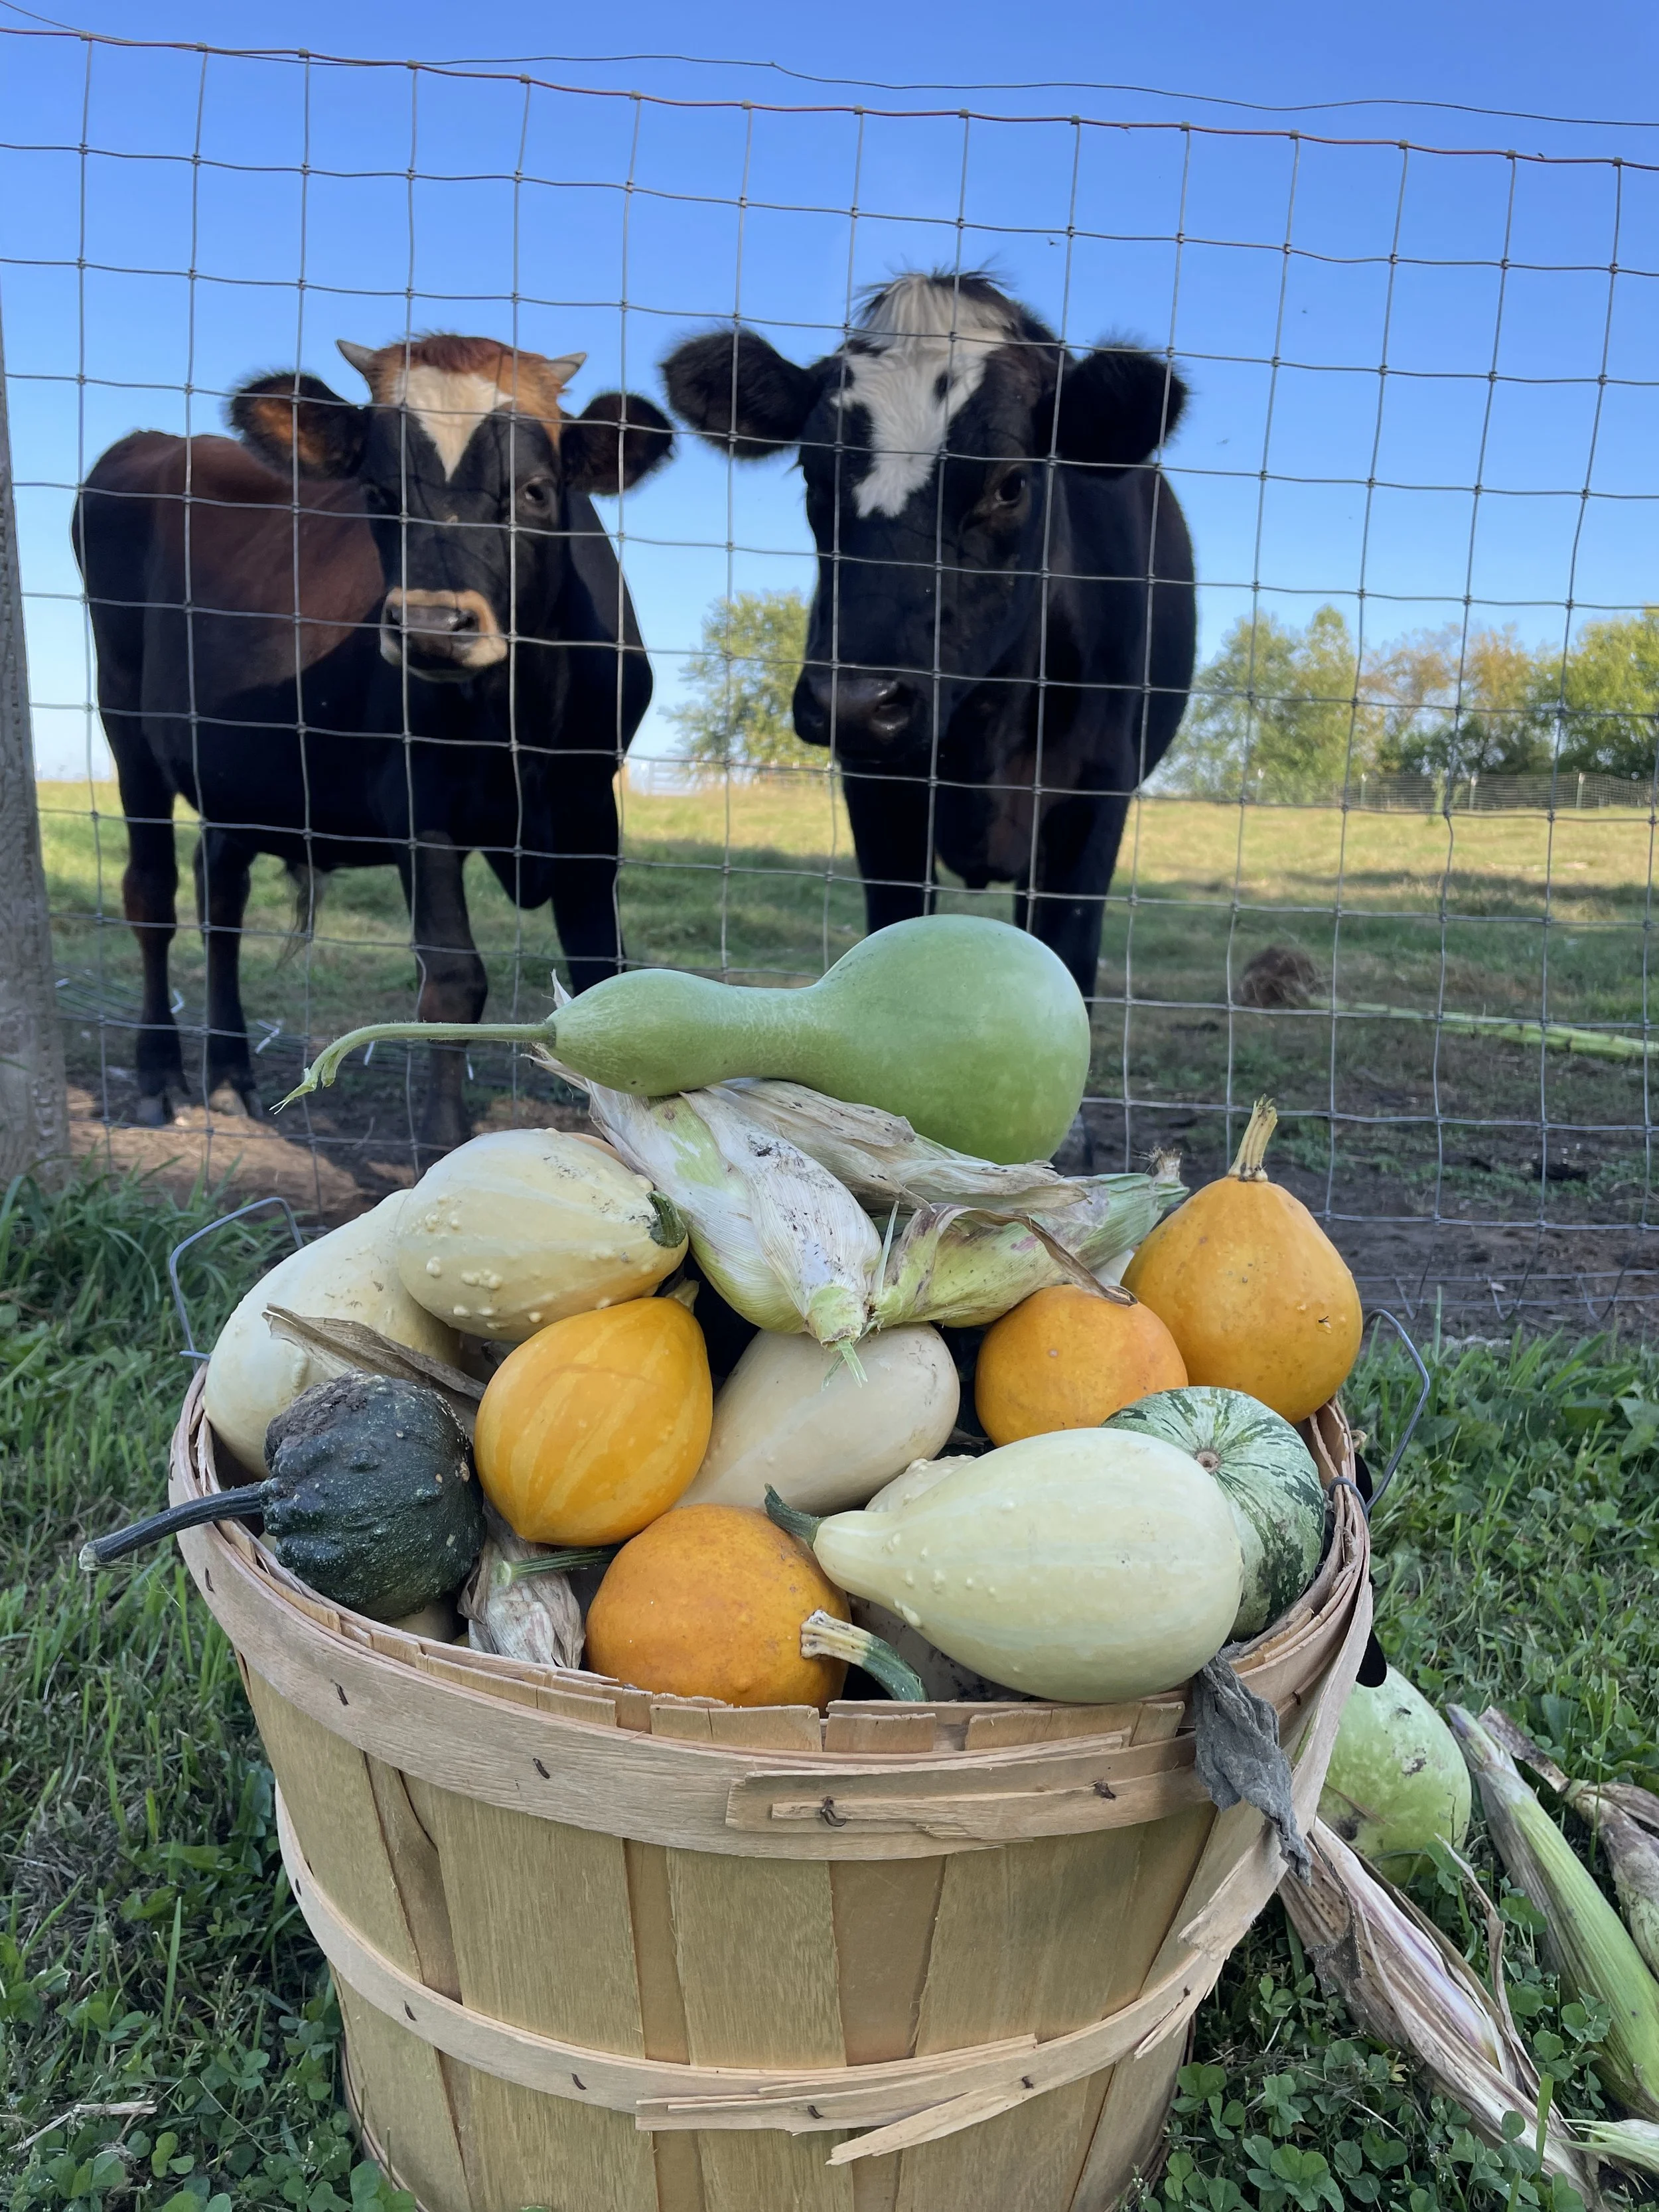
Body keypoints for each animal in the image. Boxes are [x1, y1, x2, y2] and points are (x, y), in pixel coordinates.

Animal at [73, 336, 673, 1151]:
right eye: (381, 494)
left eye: (536, 491)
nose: (431, 626)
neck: (520, 715)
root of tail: (161, 441)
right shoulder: (418, 803)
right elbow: (453, 979)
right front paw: (446, 1141)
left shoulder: (587, 804)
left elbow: (603, 970)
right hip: (125, 722)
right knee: (152, 897)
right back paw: (159, 1074)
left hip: (239, 770)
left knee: (221, 900)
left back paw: (231, 1074)